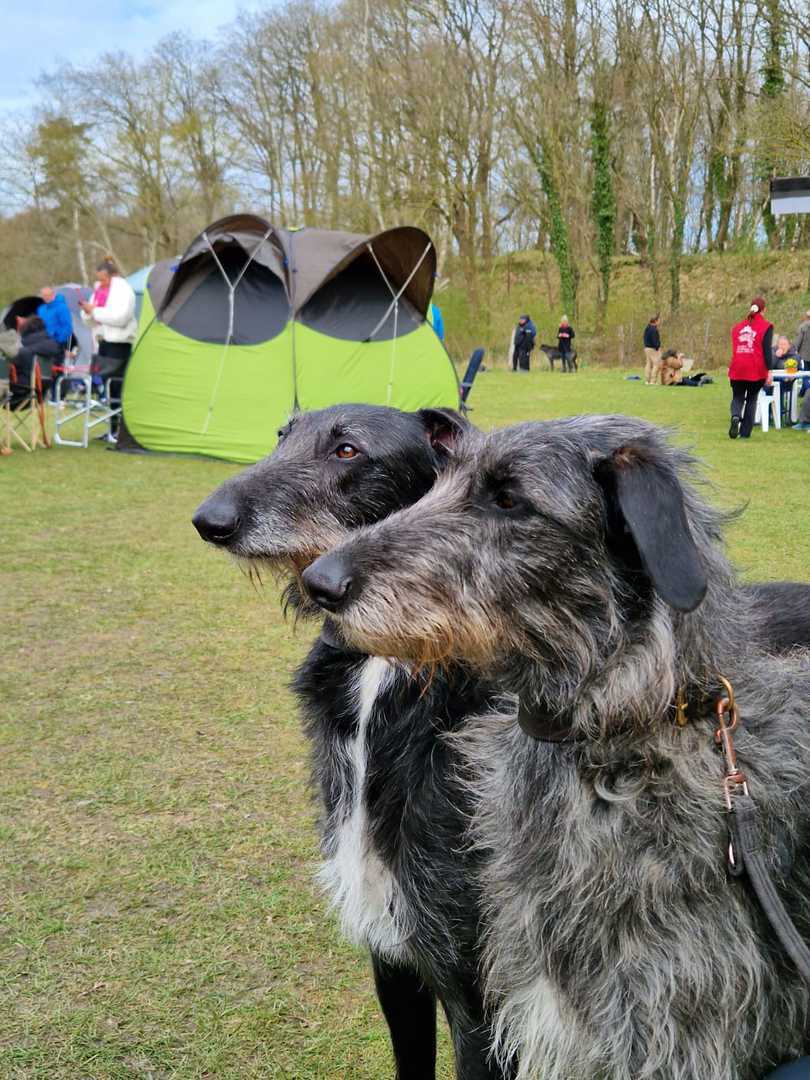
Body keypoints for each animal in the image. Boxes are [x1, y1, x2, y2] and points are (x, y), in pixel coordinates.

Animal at [192, 404, 507, 1079]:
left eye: (347, 450)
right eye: (281, 436)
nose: (209, 520)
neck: (388, 670)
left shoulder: (481, 993)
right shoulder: (393, 954)